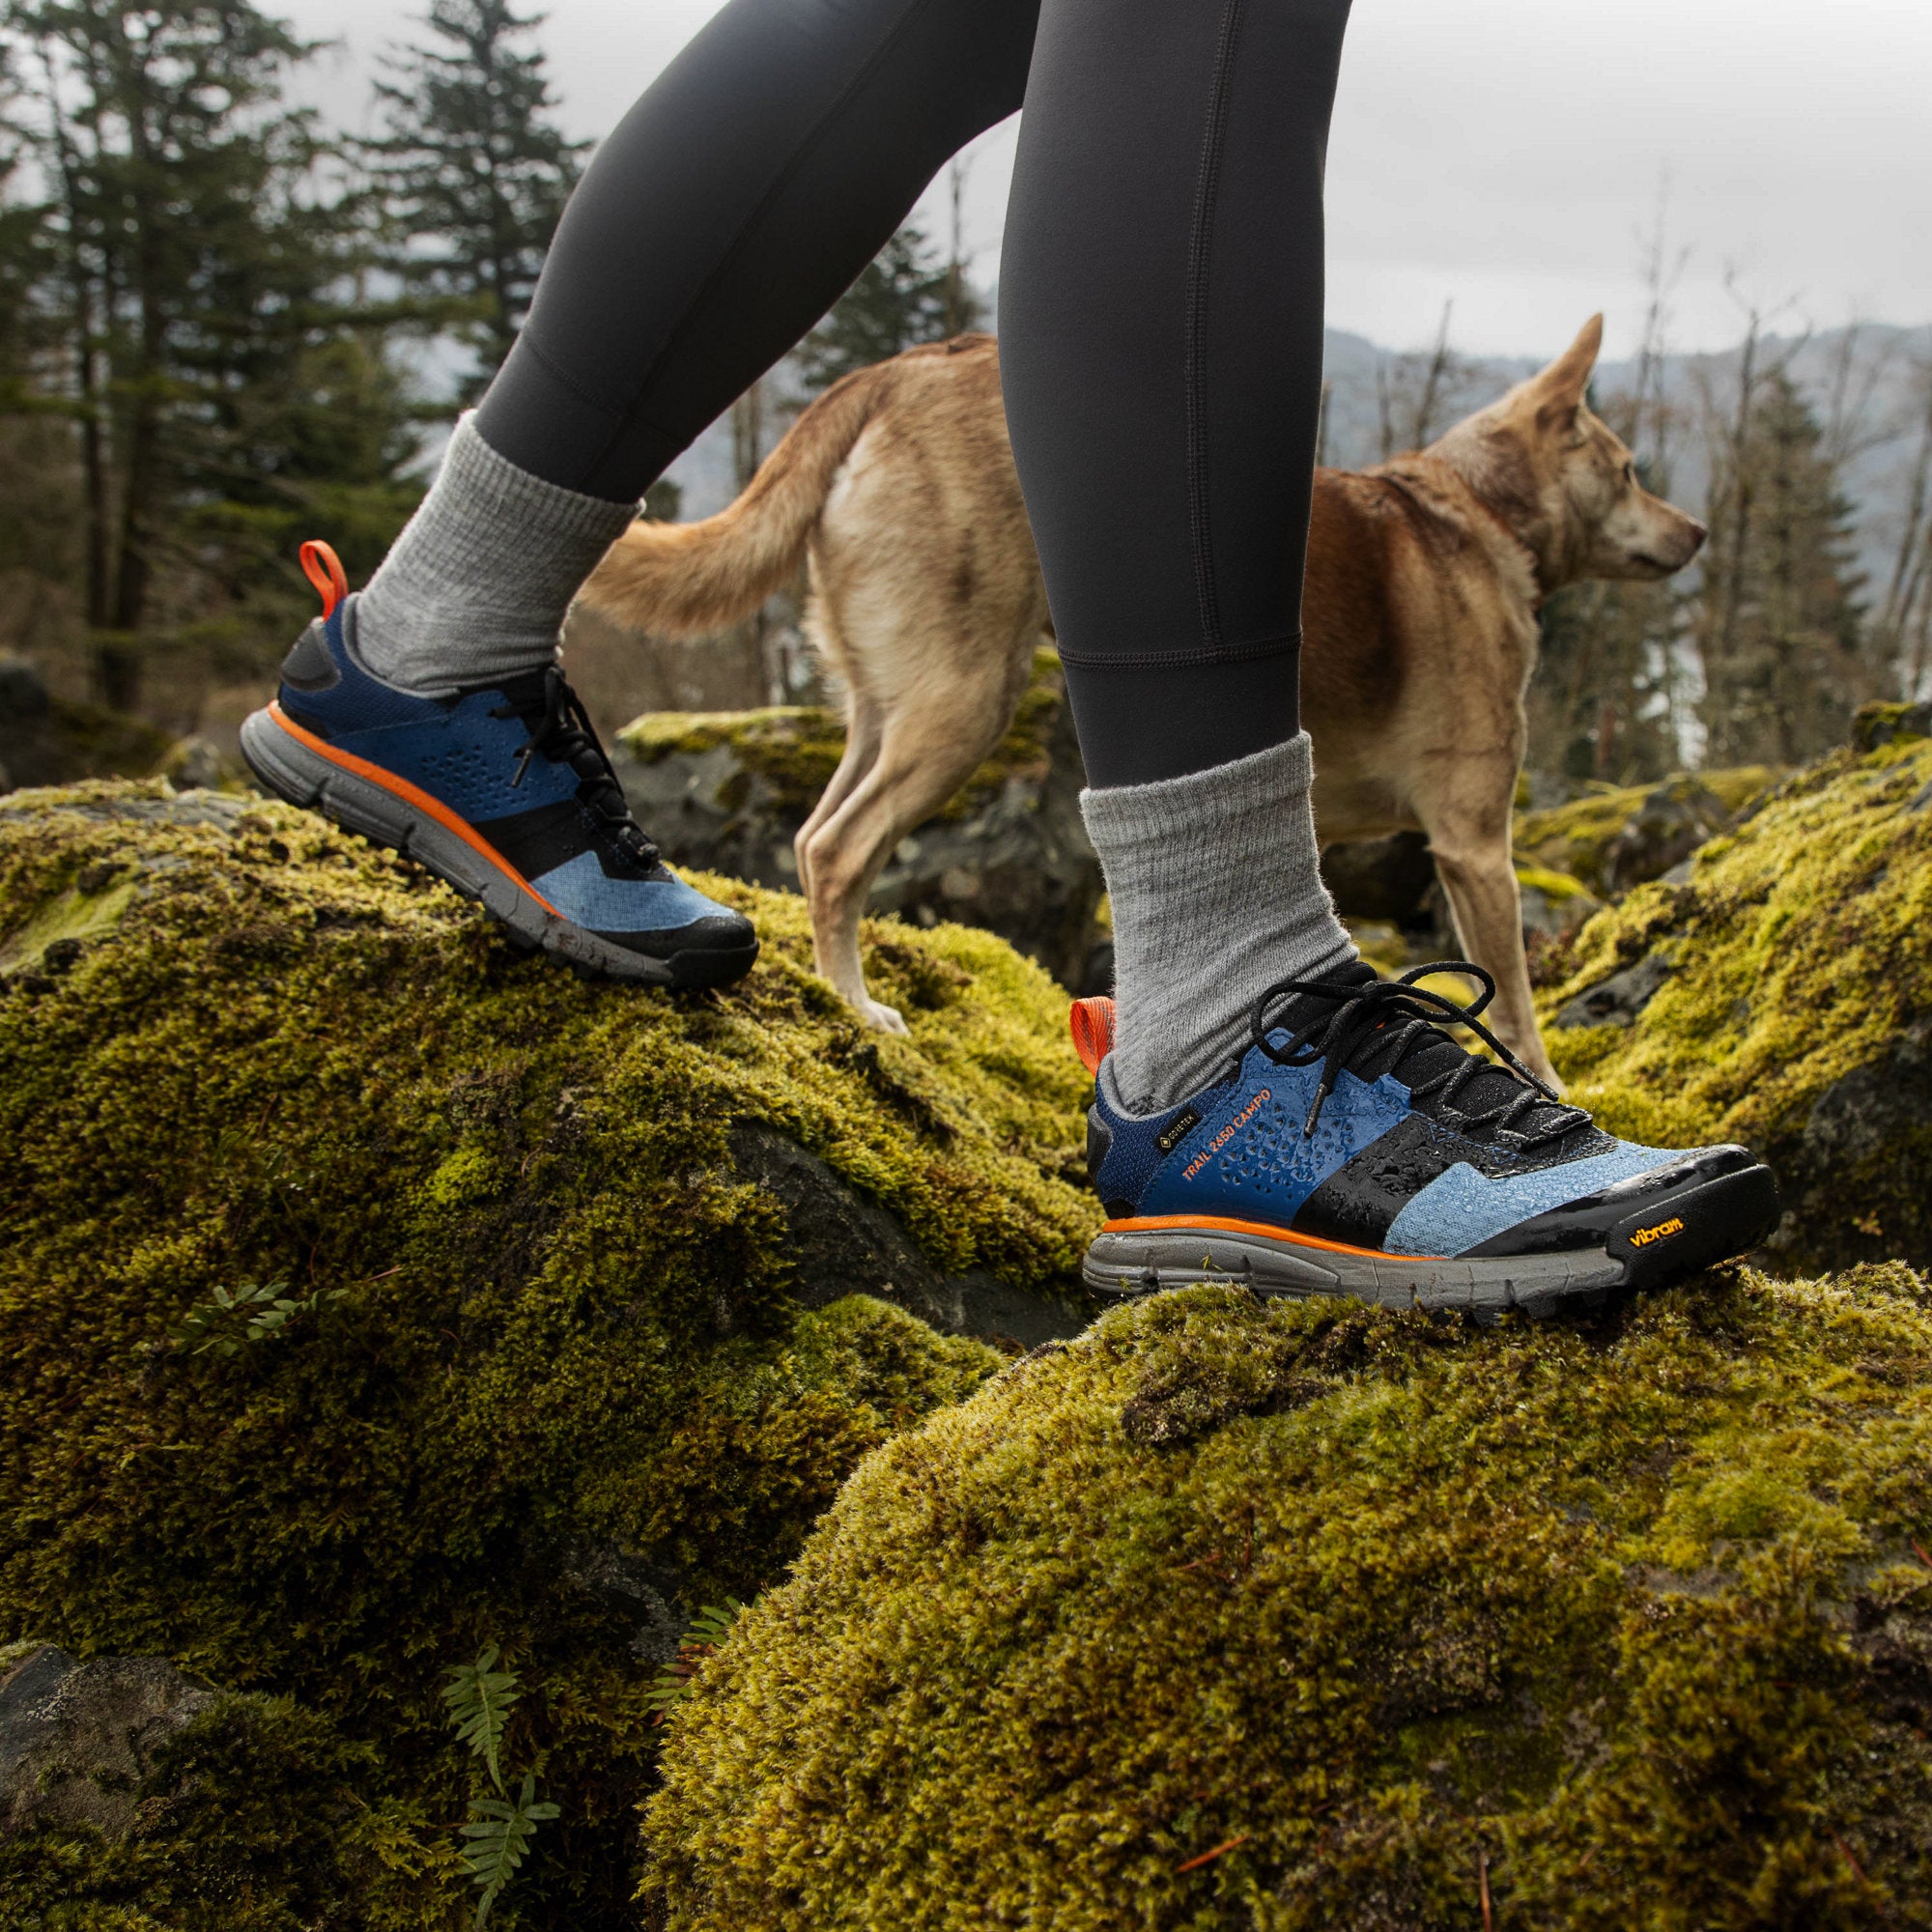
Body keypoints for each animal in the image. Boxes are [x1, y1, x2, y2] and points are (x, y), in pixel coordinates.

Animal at [580, 317, 1700, 1090]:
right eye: (1629, 471)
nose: (1692, 531)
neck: (1476, 511)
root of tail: (904, 367)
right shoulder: (1474, 844)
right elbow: (1514, 997)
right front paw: (1545, 1083)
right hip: (961, 705)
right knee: (836, 850)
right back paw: (856, 1007)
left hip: (885, 706)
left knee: (816, 831)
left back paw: (831, 989)